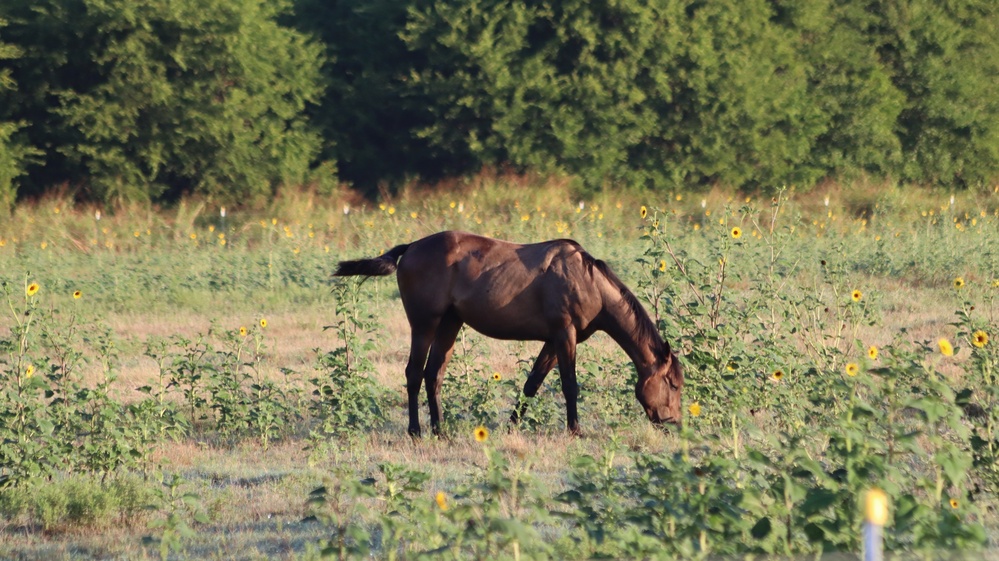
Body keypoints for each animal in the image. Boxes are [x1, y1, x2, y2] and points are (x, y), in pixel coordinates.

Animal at [332, 230, 684, 436]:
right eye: (673, 384)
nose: (674, 423)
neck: (587, 280)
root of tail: (411, 248)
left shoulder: (553, 341)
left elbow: (532, 384)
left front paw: (512, 425)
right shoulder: (564, 336)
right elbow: (570, 386)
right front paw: (575, 430)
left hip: (449, 324)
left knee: (434, 375)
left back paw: (440, 430)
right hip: (424, 324)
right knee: (414, 373)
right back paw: (416, 430)